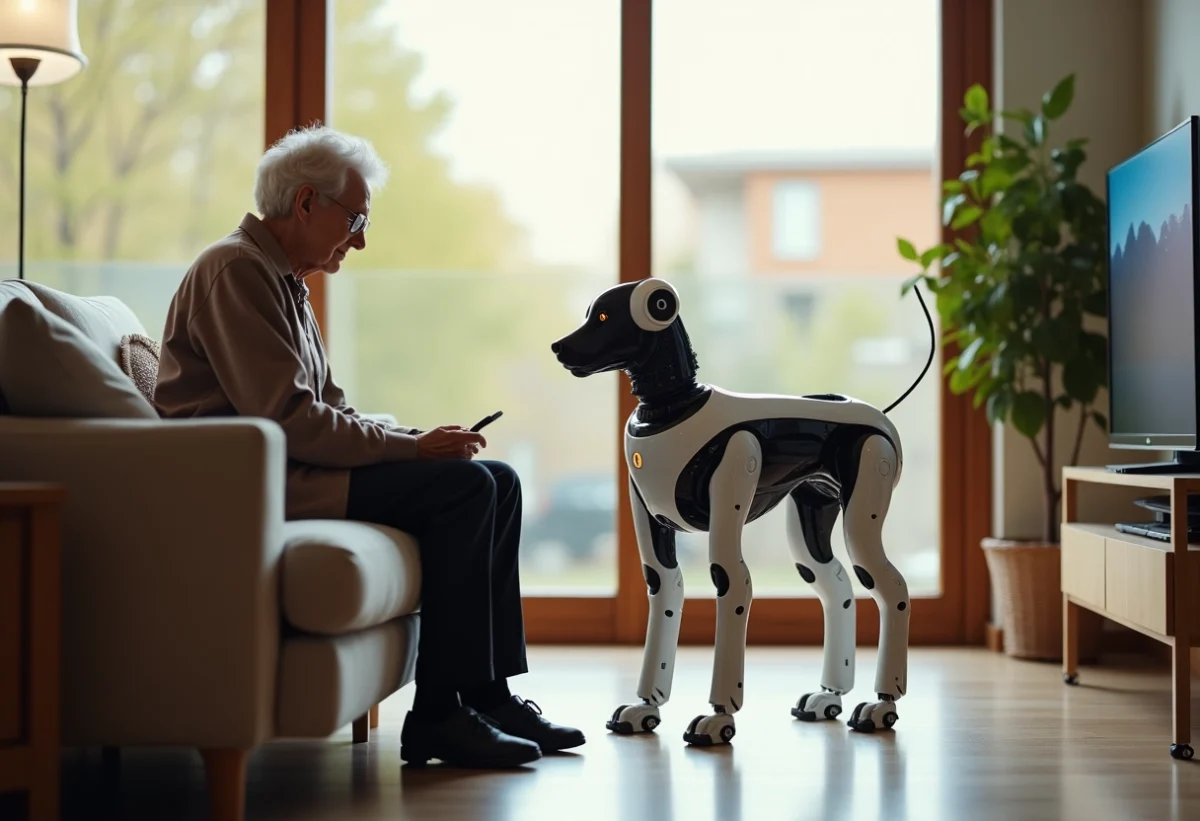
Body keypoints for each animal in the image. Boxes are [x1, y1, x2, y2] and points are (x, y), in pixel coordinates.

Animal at [549, 276, 931, 744]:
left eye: (604, 315)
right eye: (590, 313)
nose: (559, 347)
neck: (673, 407)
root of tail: (879, 413)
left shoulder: (727, 521)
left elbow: (732, 584)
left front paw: (720, 716)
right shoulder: (654, 536)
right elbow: (665, 594)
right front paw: (647, 707)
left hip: (862, 517)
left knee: (891, 588)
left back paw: (883, 703)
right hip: (811, 520)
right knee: (836, 586)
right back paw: (830, 696)